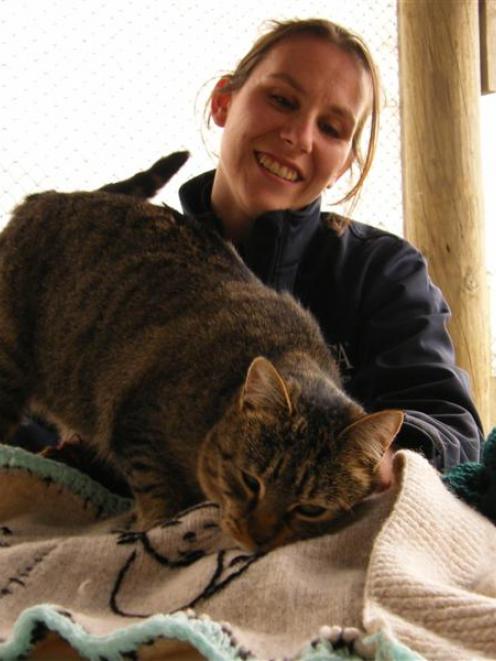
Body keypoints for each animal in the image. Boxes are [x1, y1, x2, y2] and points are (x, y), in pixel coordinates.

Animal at [0, 152, 404, 548]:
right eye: (250, 480)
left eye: (311, 509)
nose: (259, 540)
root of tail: (53, 196)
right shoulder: (136, 422)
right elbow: (157, 489)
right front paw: (155, 524)